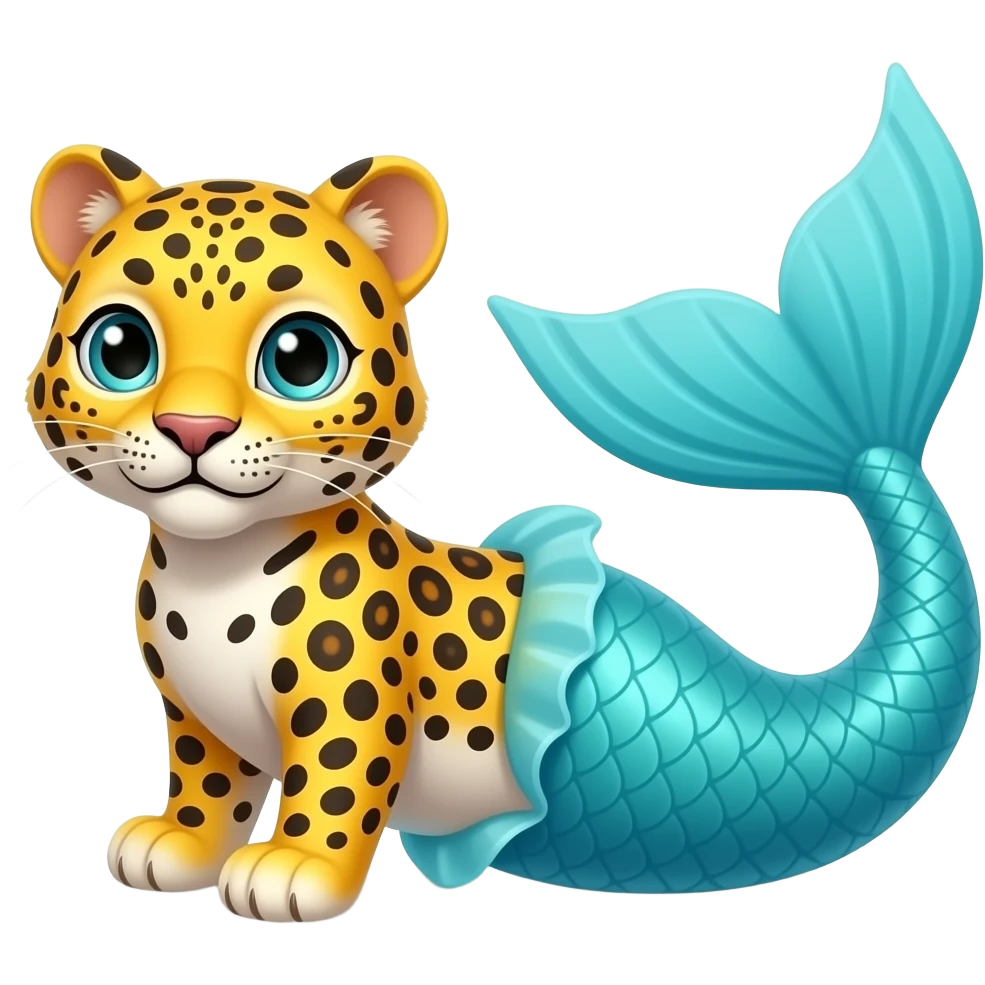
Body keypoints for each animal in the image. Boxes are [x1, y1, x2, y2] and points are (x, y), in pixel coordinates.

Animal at [26, 147, 528, 922]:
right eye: (121, 347)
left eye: (301, 359)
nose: (193, 428)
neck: (213, 572)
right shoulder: (194, 714)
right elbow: (209, 784)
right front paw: (178, 841)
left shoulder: (353, 699)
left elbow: (336, 784)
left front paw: (295, 867)